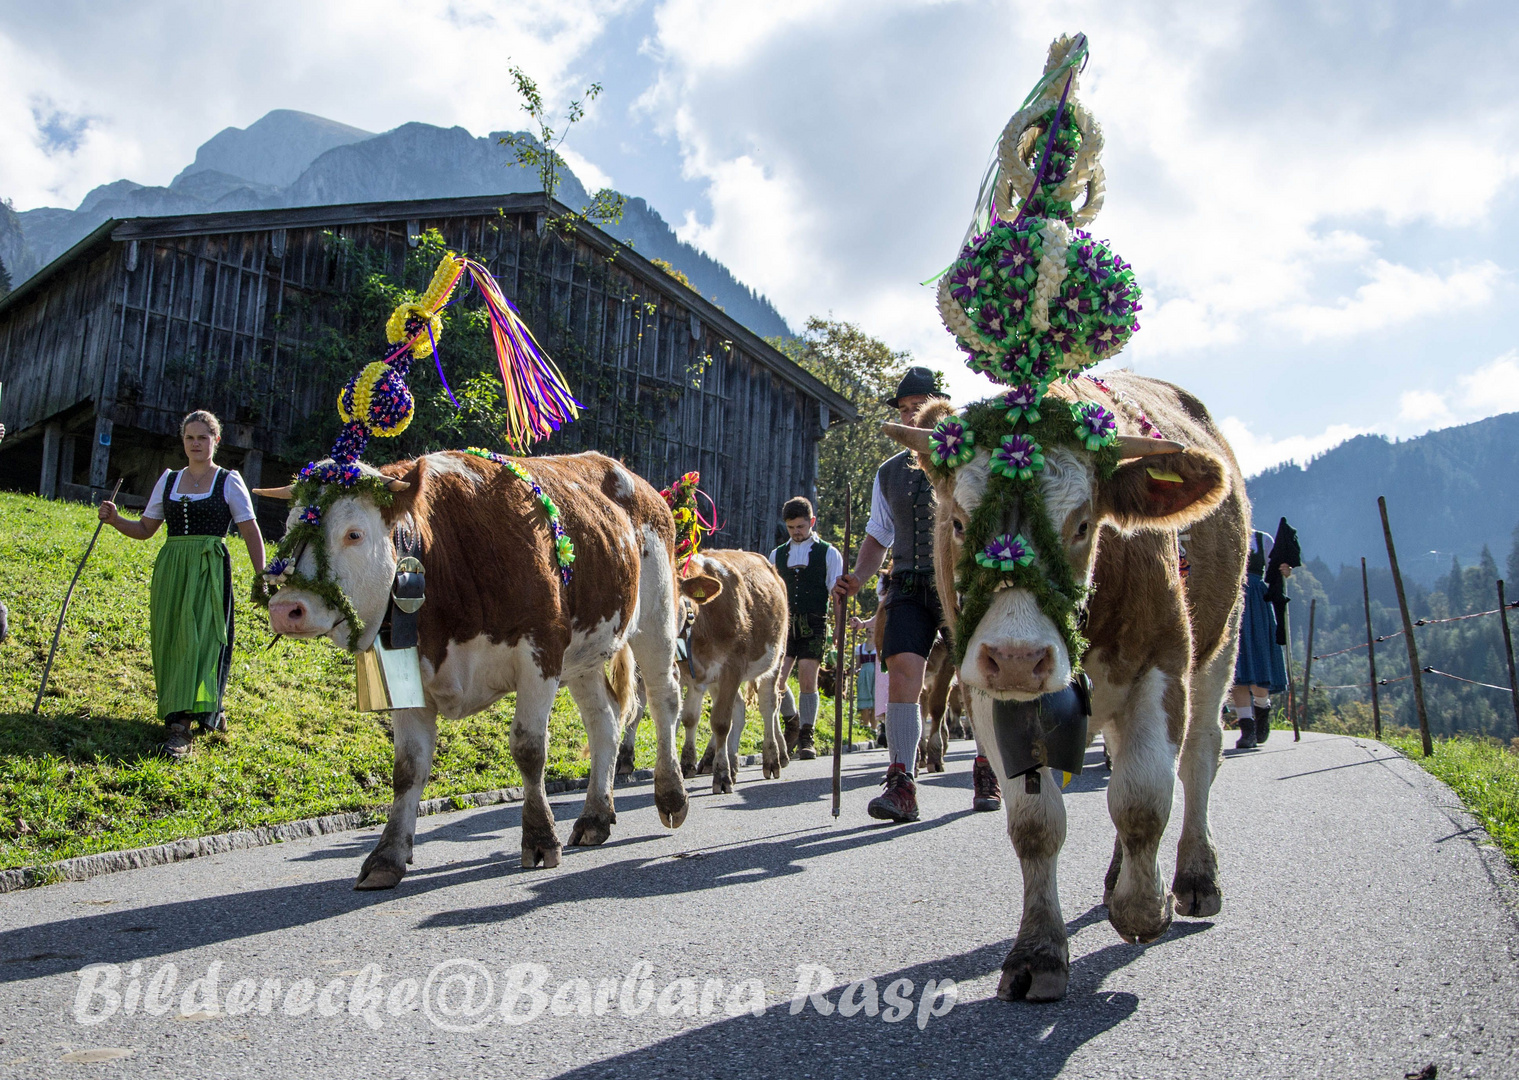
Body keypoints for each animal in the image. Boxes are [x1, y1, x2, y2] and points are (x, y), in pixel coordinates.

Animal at [259, 452, 689, 893]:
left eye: (354, 534)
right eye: (289, 528)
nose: (286, 608)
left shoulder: (542, 652)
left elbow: (529, 749)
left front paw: (539, 839)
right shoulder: (410, 675)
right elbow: (407, 768)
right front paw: (386, 856)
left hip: (656, 617)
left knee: (664, 699)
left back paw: (671, 795)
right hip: (584, 654)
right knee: (605, 721)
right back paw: (594, 818)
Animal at [616, 552, 789, 789]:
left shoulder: (732, 668)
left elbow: (721, 722)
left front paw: (722, 775)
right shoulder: (689, 673)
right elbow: (686, 717)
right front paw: (687, 763)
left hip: (776, 659)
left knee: (769, 705)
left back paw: (772, 759)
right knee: (739, 708)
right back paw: (726, 761)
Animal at [887, 373, 1245, 1002]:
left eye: (1082, 525)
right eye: (958, 523)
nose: (1017, 657)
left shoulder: (1163, 664)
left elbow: (1143, 799)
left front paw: (1143, 909)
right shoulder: (988, 696)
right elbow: (1035, 825)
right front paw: (1038, 952)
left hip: (1220, 646)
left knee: (1198, 759)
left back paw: (1194, 877)